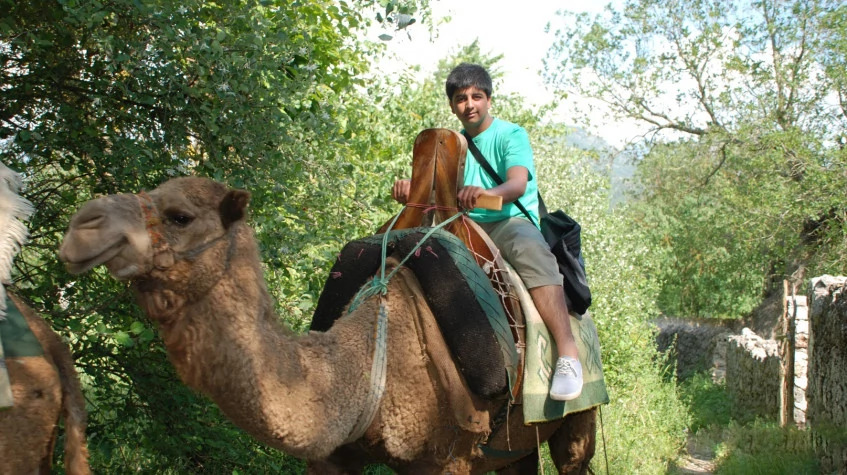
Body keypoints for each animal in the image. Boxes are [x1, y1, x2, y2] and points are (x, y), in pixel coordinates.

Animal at [58, 176, 596, 474]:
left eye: (180, 216)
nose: (83, 225)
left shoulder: (449, 458)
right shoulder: (332, 455)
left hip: (577, 421)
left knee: (575, 457)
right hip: (514, 446)